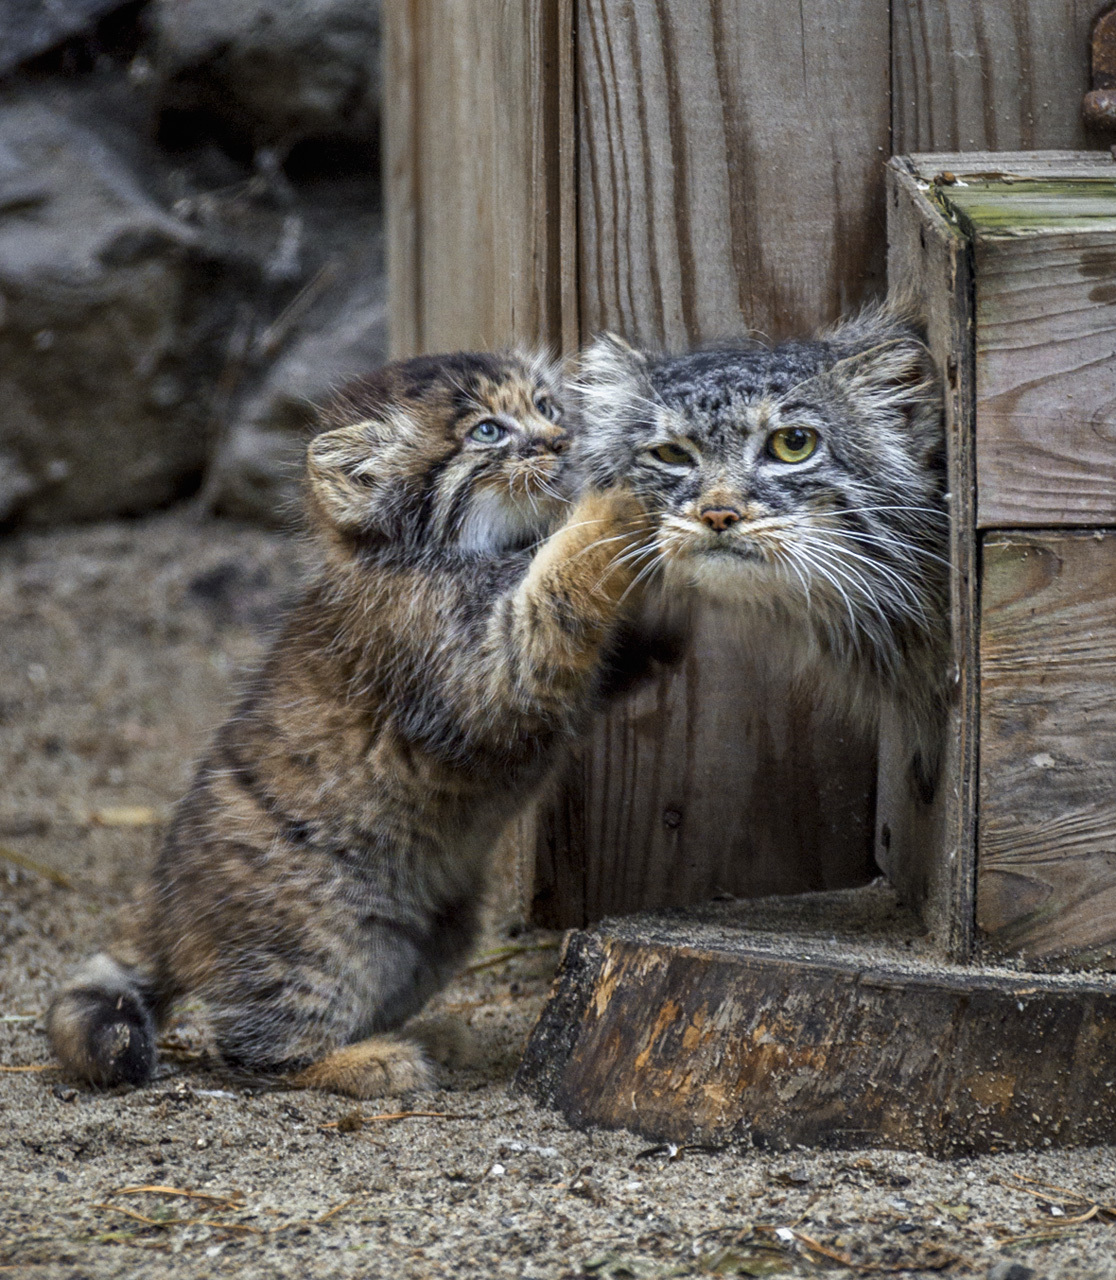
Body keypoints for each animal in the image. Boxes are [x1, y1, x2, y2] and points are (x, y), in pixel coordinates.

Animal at [50, 353, 652, 1100]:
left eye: (546, 405)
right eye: (487, 430)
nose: (564, 440)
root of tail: (160, 903)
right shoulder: (474, 669)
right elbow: (557, 585)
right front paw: (616, 501)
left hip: (432, 936)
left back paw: (425, 1037)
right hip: (315, 942)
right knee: (253, 1049)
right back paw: (368, 1060)